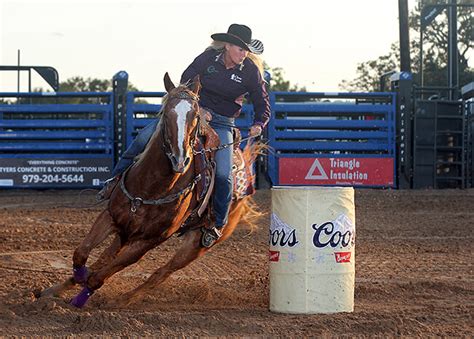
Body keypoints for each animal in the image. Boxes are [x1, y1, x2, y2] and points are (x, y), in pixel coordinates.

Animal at [39, 73, 262, 308]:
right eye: (165, 113)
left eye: (195, 115)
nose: (180, 160)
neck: (151, 187)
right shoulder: (110, 217)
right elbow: (81, 253)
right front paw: (73, 281)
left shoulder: (149, 241)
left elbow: (99, 277)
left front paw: (81, 299)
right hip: (125, 233)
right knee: (105, 258)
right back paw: (53, 290)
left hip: (198, 245)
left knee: (161, 273)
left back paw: (123, 300)